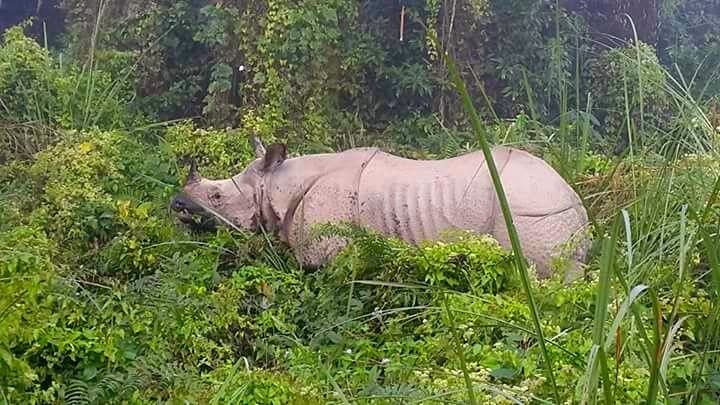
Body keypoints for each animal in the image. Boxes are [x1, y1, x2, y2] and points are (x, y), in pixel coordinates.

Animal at [172, 136, 588, 278]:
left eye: (217, 197)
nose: (177, 203)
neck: (276, 183)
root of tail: (575, 200)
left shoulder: (326, 254)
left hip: (529, 212)